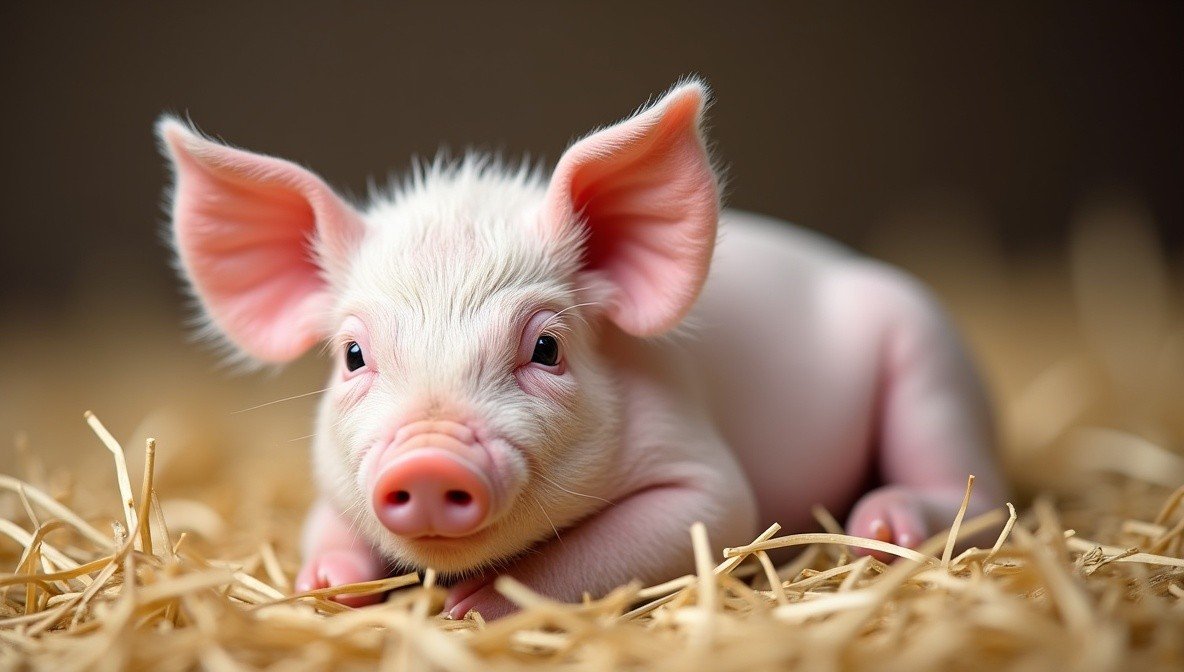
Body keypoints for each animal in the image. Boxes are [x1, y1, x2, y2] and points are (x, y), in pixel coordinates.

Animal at [157, 78, 1004, 619]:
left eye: (547, 347)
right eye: (352, 357)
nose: (428, 460)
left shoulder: (698, 470)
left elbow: (683, 521)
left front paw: (472, 609)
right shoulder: (334, 474)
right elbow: (325, 527)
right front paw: (326, 585)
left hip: (932, 362)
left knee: (980, 494)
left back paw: (884, 530)